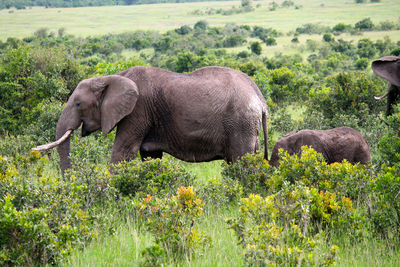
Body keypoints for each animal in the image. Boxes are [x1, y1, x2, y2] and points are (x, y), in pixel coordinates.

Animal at [32, 66, 268, 173]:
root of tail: (260, 99)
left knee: (240, 160)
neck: (115, 77)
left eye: (78, 104)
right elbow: (150, 156)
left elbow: (123, 152)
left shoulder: (137, 111)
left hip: (240, 123)